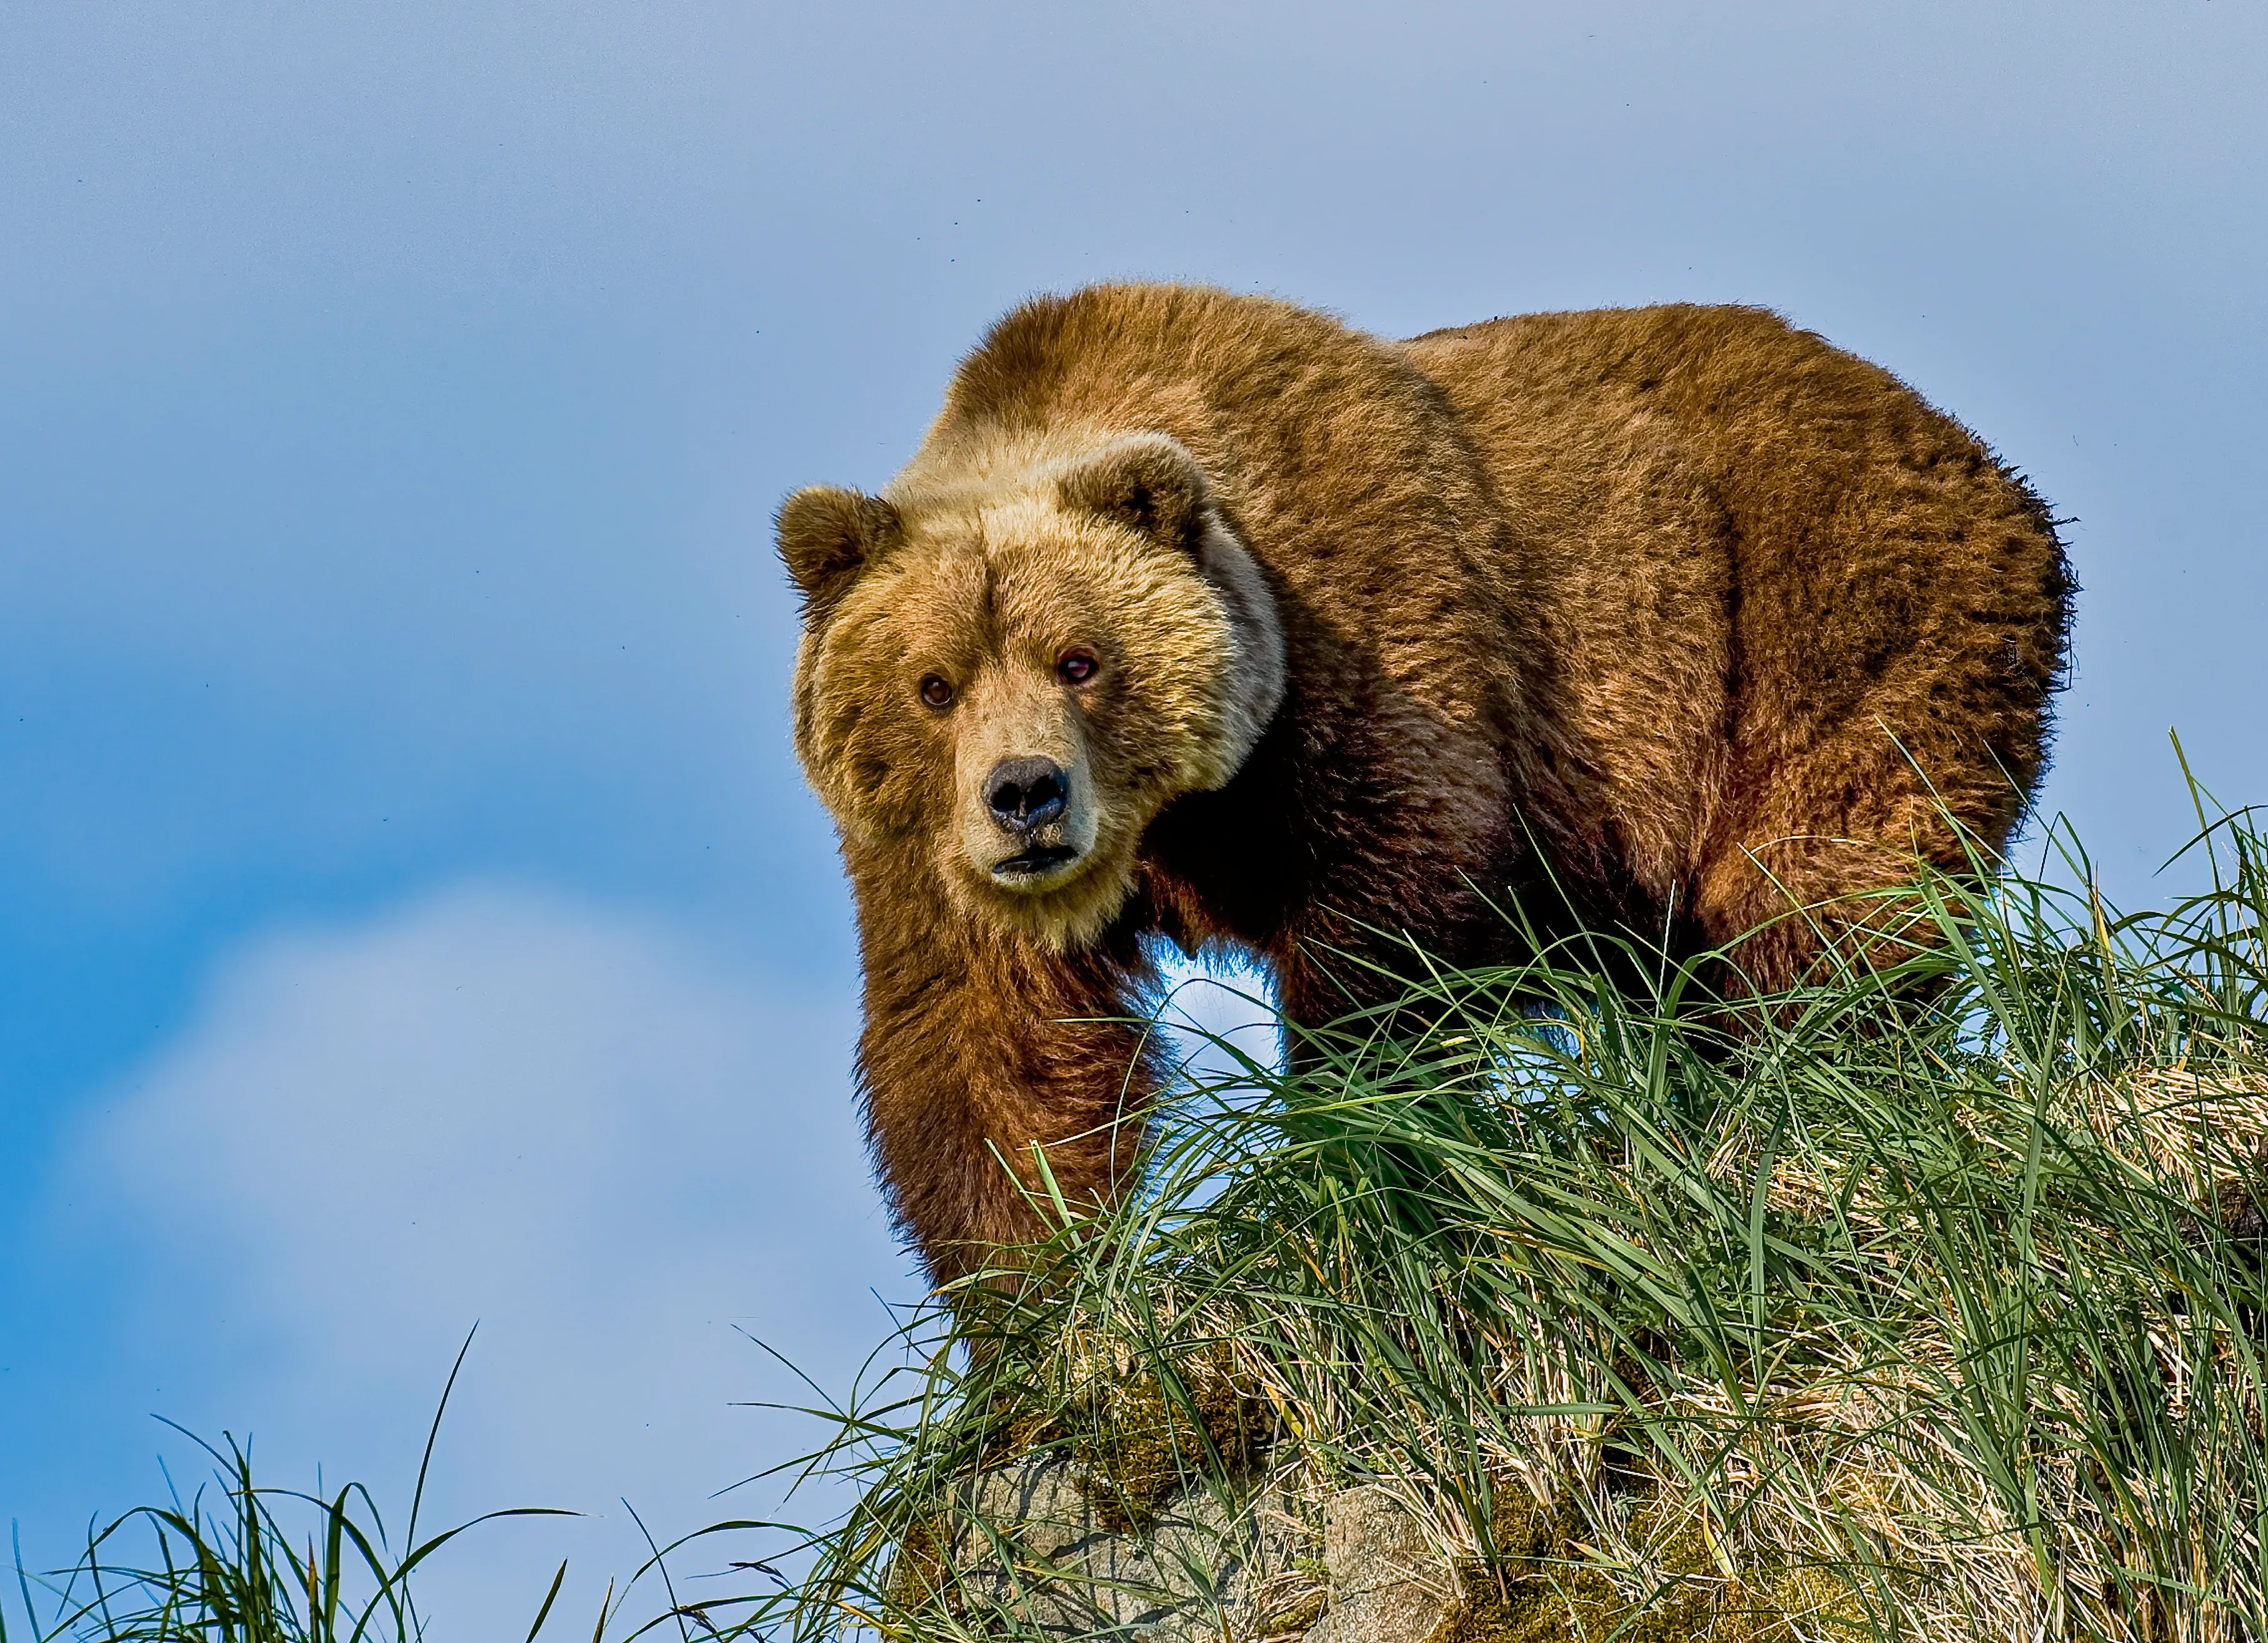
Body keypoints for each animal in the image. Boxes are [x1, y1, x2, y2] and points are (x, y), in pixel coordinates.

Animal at [778, 283, 2072, 1291]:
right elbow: (984, 1049)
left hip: (1828, 622)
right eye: (933, 682)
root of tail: (1976, 456)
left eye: (1080, 658)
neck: (1180, 816)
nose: (1026, 795)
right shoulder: (923, 854)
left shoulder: (1373, 644)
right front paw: (1031, 1298)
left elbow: (1387, 935)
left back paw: (1803, 1094)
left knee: (1814, 899)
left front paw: (1351, 1157)